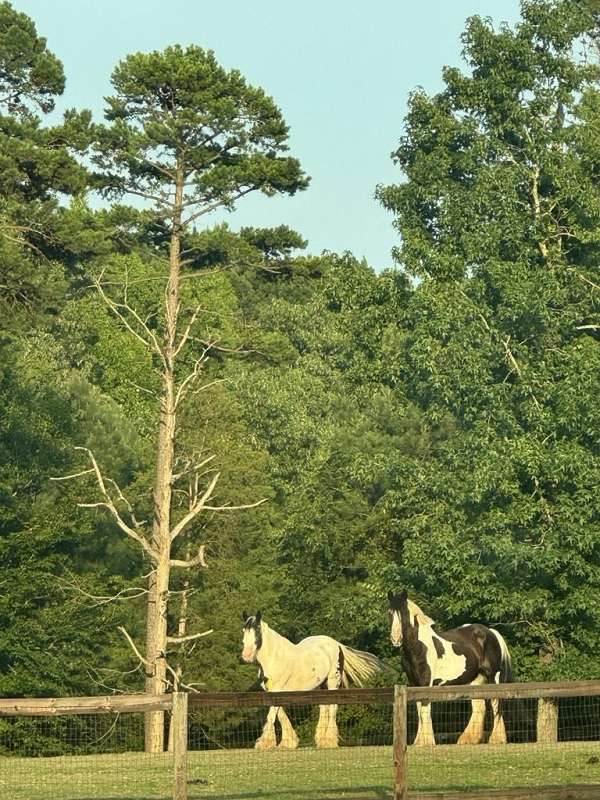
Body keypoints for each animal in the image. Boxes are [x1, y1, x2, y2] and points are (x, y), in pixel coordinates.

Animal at [239, 612, 380, 752]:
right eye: (244, 630)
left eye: (257, 629)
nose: (246, 655)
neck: (274, 658)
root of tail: (336, 644)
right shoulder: (273, 691)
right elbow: (280, 714)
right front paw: (288, 742)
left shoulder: (277, 689)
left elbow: (272, 715)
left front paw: (264, 743)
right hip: (320, 686)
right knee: (324, 707)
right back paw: (321, 740)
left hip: (333, 682)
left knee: (333, 707)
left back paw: (329, 740)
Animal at [390, 592, 510, 748]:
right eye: (389, 612)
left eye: (403, 613)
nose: (395, 639)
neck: (419, 647)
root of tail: (491, 632)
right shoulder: (414, 683)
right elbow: (419, 709)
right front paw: (419, 742)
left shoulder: (426, 682)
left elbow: (424, 709)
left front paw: (427, 742)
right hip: (475, 681)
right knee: (479, 706)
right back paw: (468, 740)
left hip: (493, 677)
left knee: (496, 704)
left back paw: (497, 739)